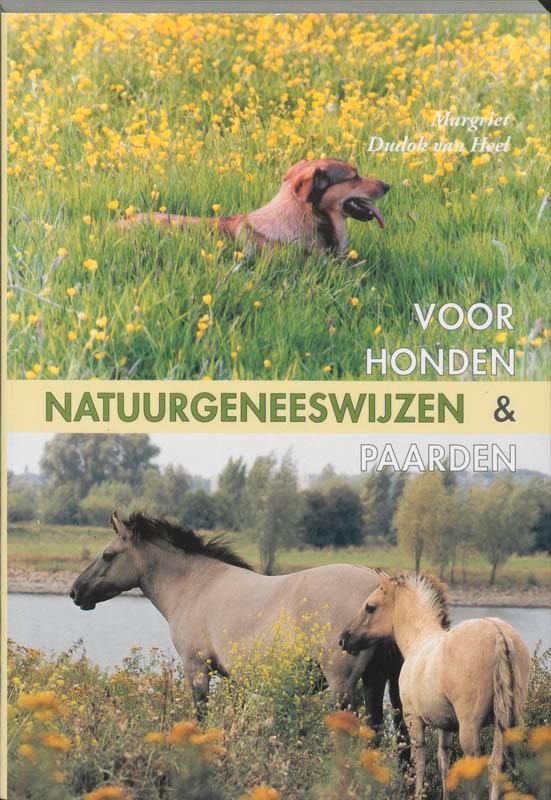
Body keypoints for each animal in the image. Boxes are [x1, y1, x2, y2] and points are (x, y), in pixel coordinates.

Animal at [70, 512, 404, 728]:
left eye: (108, 555)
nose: (75, 591)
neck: (195, 585)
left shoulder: (197, 668)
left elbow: (202, 715)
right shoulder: (234, 678)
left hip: (344, 686)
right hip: (376, 680)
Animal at [339, 571, 530, 800]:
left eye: (370, 607)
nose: (343, 639)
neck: (419, 639)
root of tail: (499, 635)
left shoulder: (413, 719)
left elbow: (419, 762)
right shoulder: (444, 724)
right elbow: (443, 762)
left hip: (470, 726)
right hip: (504, 724)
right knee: (496, 765)